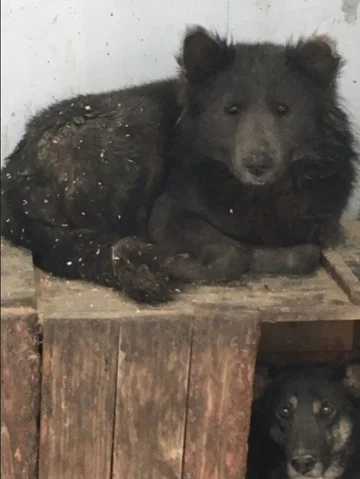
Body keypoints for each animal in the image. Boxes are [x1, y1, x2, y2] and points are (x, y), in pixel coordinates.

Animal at [0, 26, 358, 302]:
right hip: (132, 135)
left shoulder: (323, 226)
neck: (258, 196)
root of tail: (14, 171)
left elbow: (306, 252)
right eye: (231, 110)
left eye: (283, 110)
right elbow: (235, 254)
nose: (258, 164)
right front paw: (181, 264)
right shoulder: (168, 213)